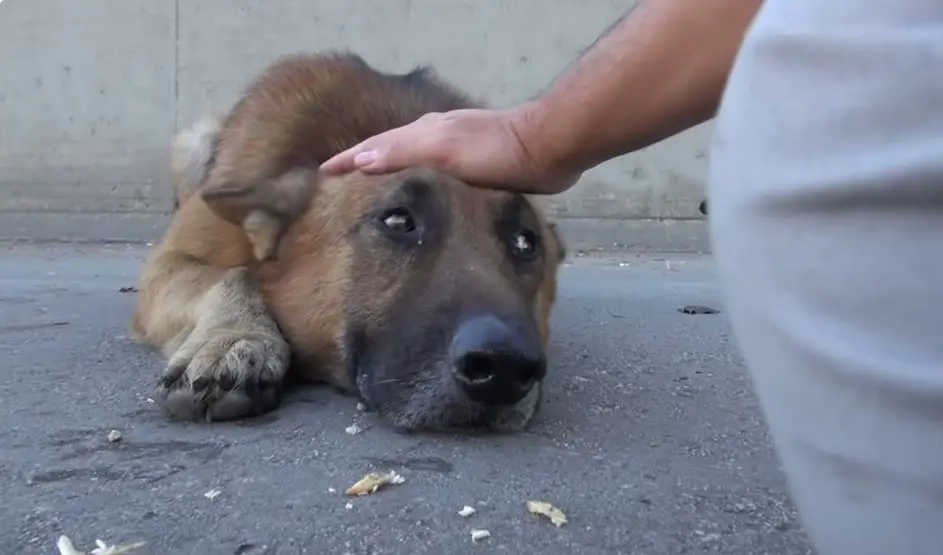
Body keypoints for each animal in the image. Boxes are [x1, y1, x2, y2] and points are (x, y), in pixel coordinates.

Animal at [128, 52, 564, 432]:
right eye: (398, 220)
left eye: (525, 242)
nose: (505, 365)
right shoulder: (170, 261)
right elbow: (231, 275)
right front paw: (235, 339)